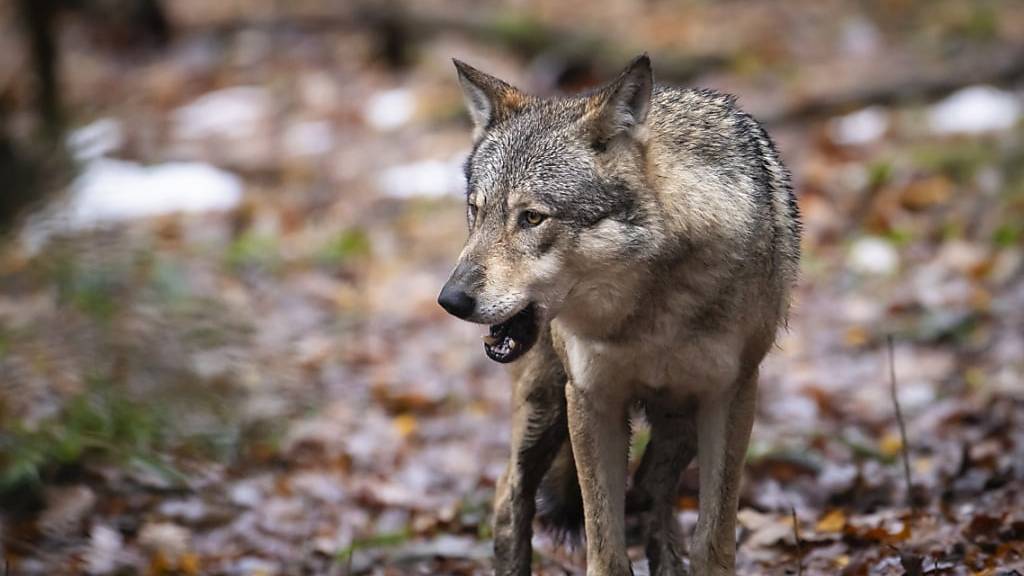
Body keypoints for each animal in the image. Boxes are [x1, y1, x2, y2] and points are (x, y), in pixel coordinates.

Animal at [438, 54, 798, 573]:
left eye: (532, 218)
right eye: (476, 211)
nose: (451, 300)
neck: (649, 313)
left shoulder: (730, 395)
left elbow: (713, 543)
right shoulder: (591, 399)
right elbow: (605, 551)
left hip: (677, 421)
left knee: (649, 491)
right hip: (545, 407)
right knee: (510, 499)